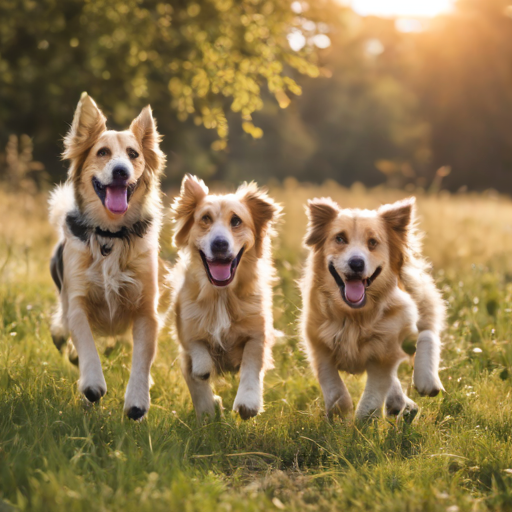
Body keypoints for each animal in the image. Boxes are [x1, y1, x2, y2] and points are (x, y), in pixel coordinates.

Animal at [48, 92, 164, 420]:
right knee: (61, 332)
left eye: (134, 154)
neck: (111, 235)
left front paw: (137, 400)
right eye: (102, 152)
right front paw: (92, 384)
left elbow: (142, 357)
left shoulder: (146, 310)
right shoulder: (76, 302)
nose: (121, 171)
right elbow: (86, 342)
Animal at [168, 175, 280, 420]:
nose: (219, 243)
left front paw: (248, 403)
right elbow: (197, 366)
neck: (221, 294)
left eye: (236, 221)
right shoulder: (186, 335)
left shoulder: (258, 333)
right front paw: (210, 413)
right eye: (205, 219)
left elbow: (250, 365)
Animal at [300, 196, 444, 420]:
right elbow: (334, 388)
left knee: (427, 329)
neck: (354, 315)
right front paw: (340, 416)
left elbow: (373, 393)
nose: (356, 263)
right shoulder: (317, 343)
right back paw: (400, 404)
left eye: (373, 243)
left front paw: (362, 421)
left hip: (416, 295)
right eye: (340, 239)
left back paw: (427, 380)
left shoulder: (384, 351)